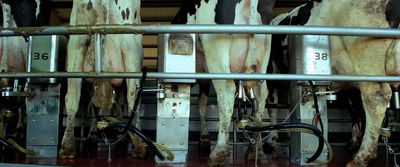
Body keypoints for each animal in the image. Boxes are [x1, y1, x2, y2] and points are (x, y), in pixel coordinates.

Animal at [60, 0, 145, 159]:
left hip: (77, 43)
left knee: (72, 98)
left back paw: (68, 145)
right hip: (130, 46)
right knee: (132, 98)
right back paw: (138, 144)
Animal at [172, 0, 276, 166]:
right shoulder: (204, 78)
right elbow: (201, 104)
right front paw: (204, 138)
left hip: (217, 58)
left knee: (226, 94)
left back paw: (218, 152)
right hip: (262, 63)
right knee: (261, 97)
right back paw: (255, 150)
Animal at [268, 0, 400, 166]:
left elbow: (271, 106)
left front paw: (270, 139)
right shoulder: (350, 87)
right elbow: (355, 110)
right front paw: (353, 141)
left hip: (367, 65)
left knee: (376, 98)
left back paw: (361, 157)